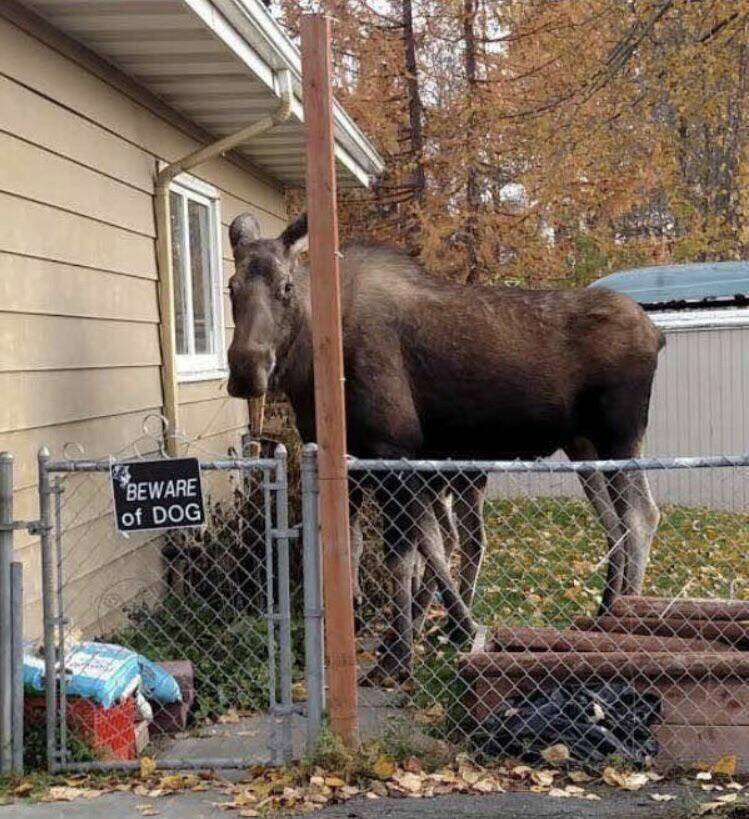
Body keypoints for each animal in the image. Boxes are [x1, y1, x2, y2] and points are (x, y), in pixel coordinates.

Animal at [225, 211, 664, 680]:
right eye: (231, 286)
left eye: (286, 287)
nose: (246, 369)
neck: (312, 369)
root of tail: (656, 334)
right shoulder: (357, 464)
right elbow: (369, 546)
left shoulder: (392, 451)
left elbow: (404, 555)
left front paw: (399, 654)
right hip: (584, 447)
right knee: (613, 524)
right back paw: (604, 610)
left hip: (619, 436)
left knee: (641, 516)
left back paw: (623, 620)